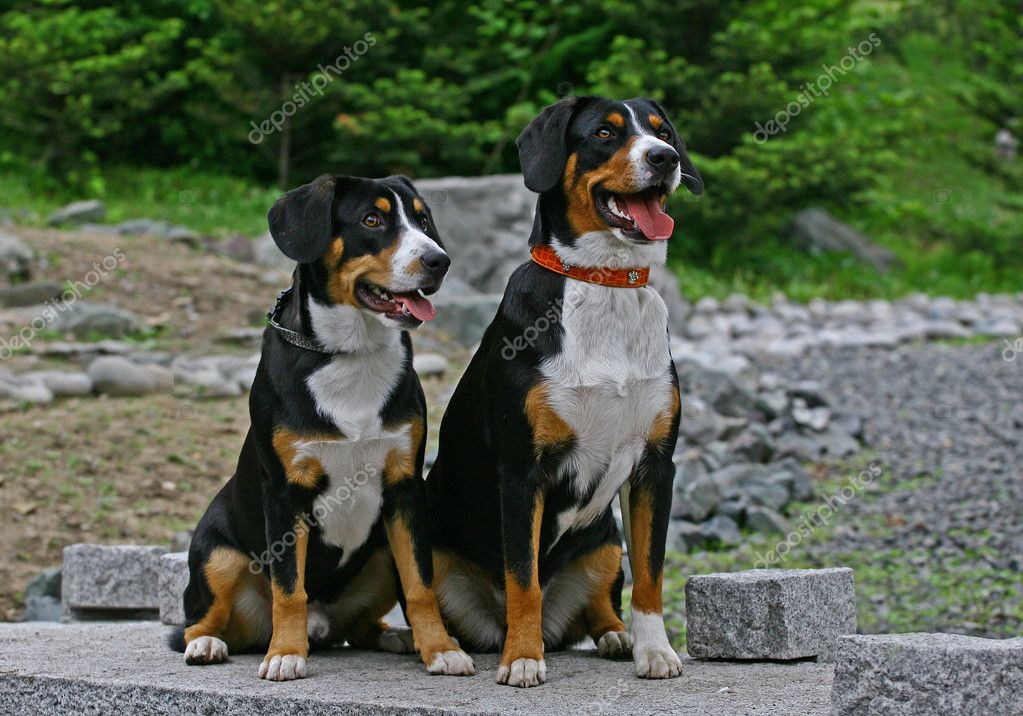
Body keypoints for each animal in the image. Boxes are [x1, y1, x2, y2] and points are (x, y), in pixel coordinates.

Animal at [172, 173, 474, 683]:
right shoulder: (285, 494)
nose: (440, 260)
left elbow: (421, 585)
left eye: (422, 220)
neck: (351, 354)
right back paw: (208, 644)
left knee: (363, 624)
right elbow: (288, 589)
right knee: (198, 621)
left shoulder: (405, 489)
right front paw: (285, 655)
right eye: (372, 220)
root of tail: (323, 624)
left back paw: (396, 637)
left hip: (380, 552)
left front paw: (440, 649)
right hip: (218, 556)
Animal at [423, 96, 703, 687]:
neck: (605, 285)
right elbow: (523, 578)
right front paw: (523, 658)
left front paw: (655, 651)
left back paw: (618, 638)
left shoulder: (655, 465)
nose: (664, 158)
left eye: (664, 133)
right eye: (605, 133)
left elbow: (650, 576)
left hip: (603, 542)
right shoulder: (521, 470)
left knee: (599, 607)